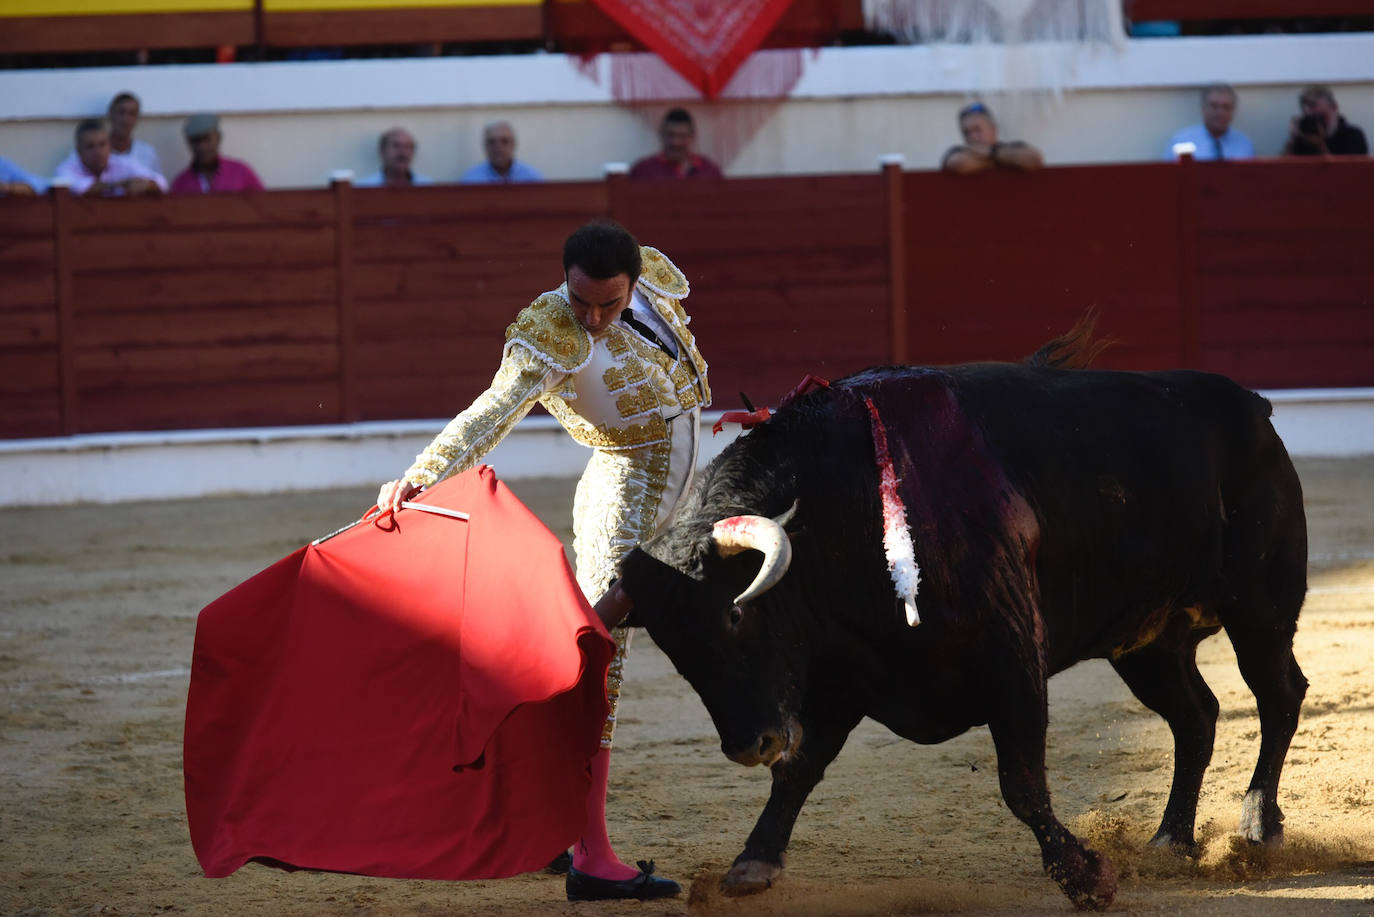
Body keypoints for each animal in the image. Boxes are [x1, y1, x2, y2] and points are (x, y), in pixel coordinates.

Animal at [607, 329, 1302, 912]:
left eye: (734, 614)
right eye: (673, 650)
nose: (750, 745)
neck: (845, 511)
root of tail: (1252, 407)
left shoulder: (1011, 657)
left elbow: (1021, 781)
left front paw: (1086, 876)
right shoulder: (839, 675)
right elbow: (799, 770)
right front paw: (752, 864)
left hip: (1260, 606)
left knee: (1278, 695)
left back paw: (1258, 827)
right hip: (1146, 642)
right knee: (1197, 717)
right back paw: (1171, 841)